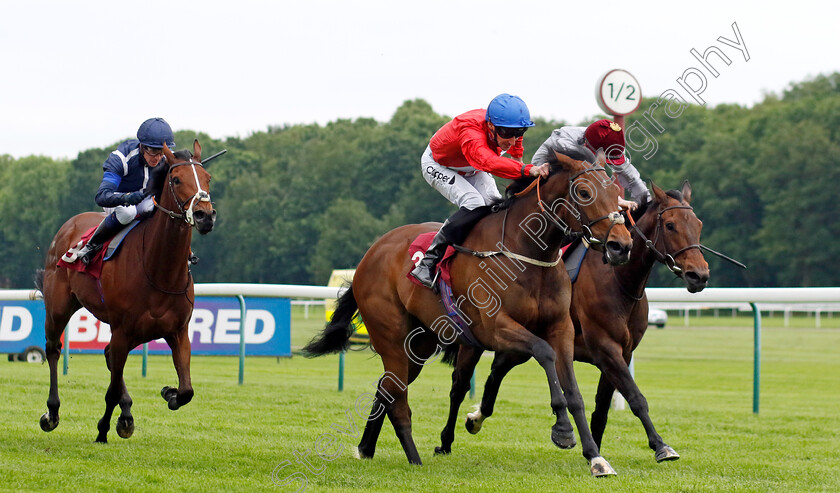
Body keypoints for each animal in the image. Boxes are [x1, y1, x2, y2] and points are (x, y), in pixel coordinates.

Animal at [36, 139, 215, 442]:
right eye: (176, 179)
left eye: (208, 177)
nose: (205, 215)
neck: (159, 271)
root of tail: (69, 225)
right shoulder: (122, 329)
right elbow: (110, 390)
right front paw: (103, 430)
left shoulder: (177, 331)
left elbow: (187, 390)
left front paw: (168, 393)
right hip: (59, 307)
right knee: (53, 349)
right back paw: (52, 412)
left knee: (109, 356)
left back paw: (128, 411)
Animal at [306, 152, 632, 474]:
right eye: (585, 192)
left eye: (616, 193)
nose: (621, 246)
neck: (527, 252)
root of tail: (370, 254)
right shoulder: (496, 329)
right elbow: (544, 353)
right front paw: (562, 431)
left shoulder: (560, 328)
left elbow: (573, 392)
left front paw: (596, 458)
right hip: (391, 337)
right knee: (398, 399)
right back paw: (414, 459)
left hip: (419, 344)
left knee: (386, 388)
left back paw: (366, 448)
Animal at [440, 180, 708, 462]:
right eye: (670, 225)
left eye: (698, 224)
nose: (699, 275)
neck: (618, 280)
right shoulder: (606, 348)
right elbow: (635, 396)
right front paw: (660, 445)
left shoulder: (622, 353)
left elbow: (602, 409)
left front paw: (595, 452)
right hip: (475, 340)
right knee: (459, 385)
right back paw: (446, 441)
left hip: (518, 344)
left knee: (497, 370)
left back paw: (476, 417)